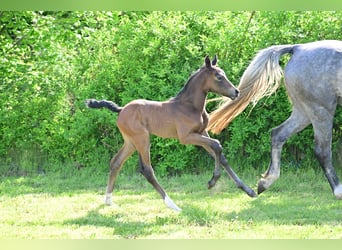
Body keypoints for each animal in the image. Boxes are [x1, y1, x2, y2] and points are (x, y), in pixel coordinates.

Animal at [206, 39, 342, 199]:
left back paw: (265, 182)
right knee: (322, 150)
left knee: (278, 134)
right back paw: (338, 190)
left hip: (304, 112)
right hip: (321, 110)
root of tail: (298, 48)